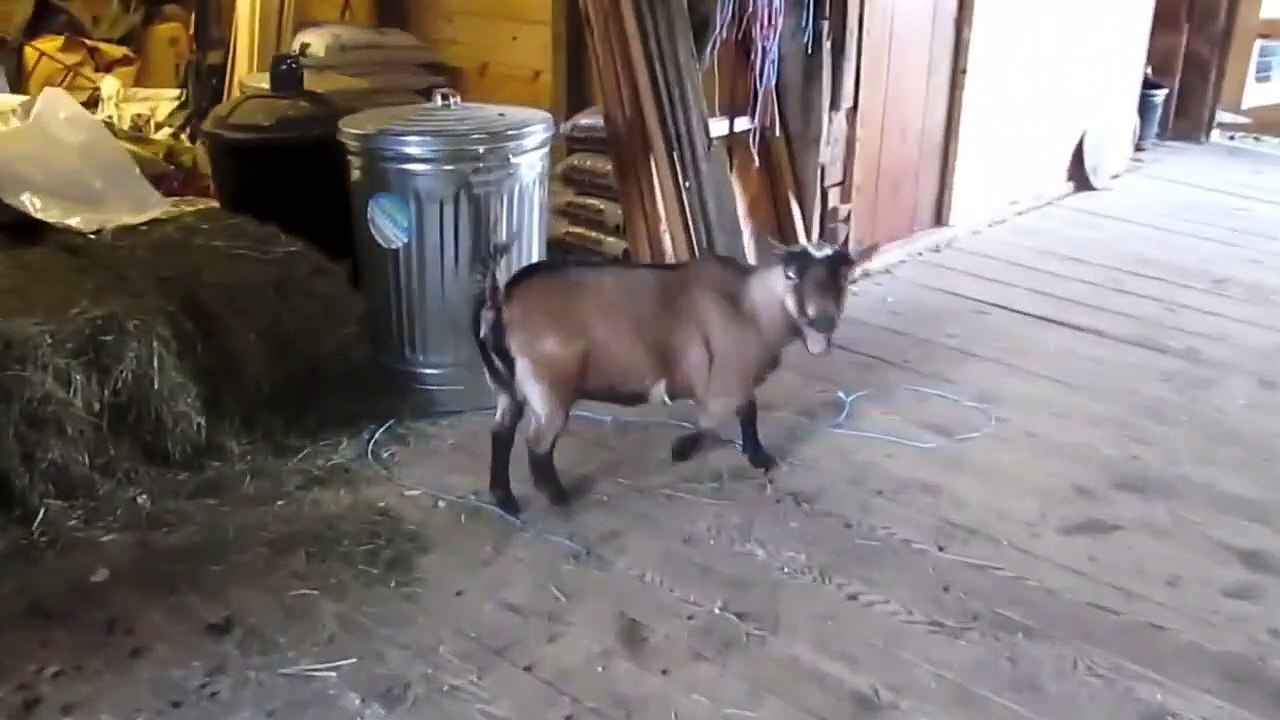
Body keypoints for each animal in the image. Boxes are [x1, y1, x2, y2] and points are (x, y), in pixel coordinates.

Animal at [472, 242, 876, 517]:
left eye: (843, 277)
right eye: (793, 275)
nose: (824, 322)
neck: (752, 307)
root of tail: (502, 298)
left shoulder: (737, 377)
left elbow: (748, 410)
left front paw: (758, 456)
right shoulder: (724, 379)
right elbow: (716, 419)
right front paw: (682, 449)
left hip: (507, 385)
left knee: (501, 431)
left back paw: (504, 497)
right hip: (548, 386)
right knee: (538, 442)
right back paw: (557, 496)